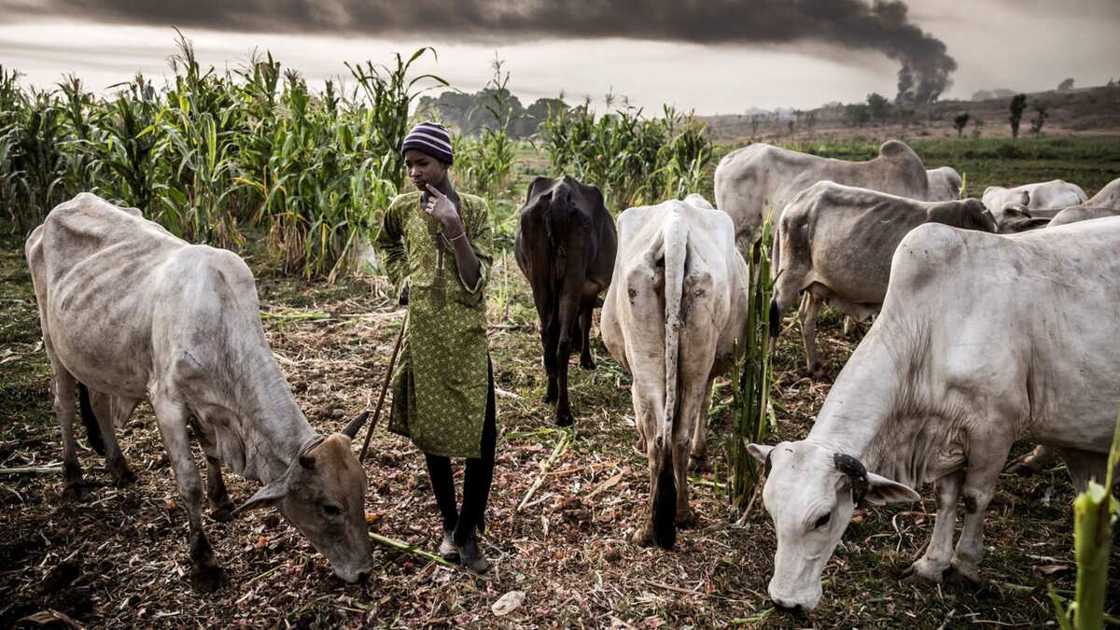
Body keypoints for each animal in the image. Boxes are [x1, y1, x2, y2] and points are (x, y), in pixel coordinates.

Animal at [512, 173, 618, 423]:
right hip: (573, 277)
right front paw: (586, 359)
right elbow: (586, 322)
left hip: (539, 279)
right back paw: (563, 412)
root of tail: (560, 194)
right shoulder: (589, 290)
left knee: (547, 334)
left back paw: (551, 394)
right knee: (562, 341)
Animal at [600, 193, 748, 547]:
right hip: (691, 354)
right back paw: (675, 517)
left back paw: (657, 525)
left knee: (662, 437)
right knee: (675, 436)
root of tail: (675, 225)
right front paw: (699, 452)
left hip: (648, 355)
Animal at [743, 217, 1120, 609]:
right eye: (770, 510)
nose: (785, 602)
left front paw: (965, 566)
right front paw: (932, 564)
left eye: (823, 518)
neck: (932, 329)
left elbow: (975, 497)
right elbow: (946, 498)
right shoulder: (946, 435)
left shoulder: (995, 429)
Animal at [770, 183, 999, 374]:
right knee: (775, 312)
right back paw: (771, 359)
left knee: (806, 319)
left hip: (816, 288)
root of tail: (797, 202)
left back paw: (813, 366)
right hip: (788, 278)